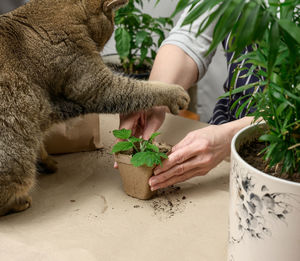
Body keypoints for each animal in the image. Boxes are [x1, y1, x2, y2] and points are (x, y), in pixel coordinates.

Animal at [0, 0, 189, 215]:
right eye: (113, 22)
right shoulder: (96, 85)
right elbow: (141, 88)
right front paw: (175, 93)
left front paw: (47, 161)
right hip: (19, 162)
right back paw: (19, 202)